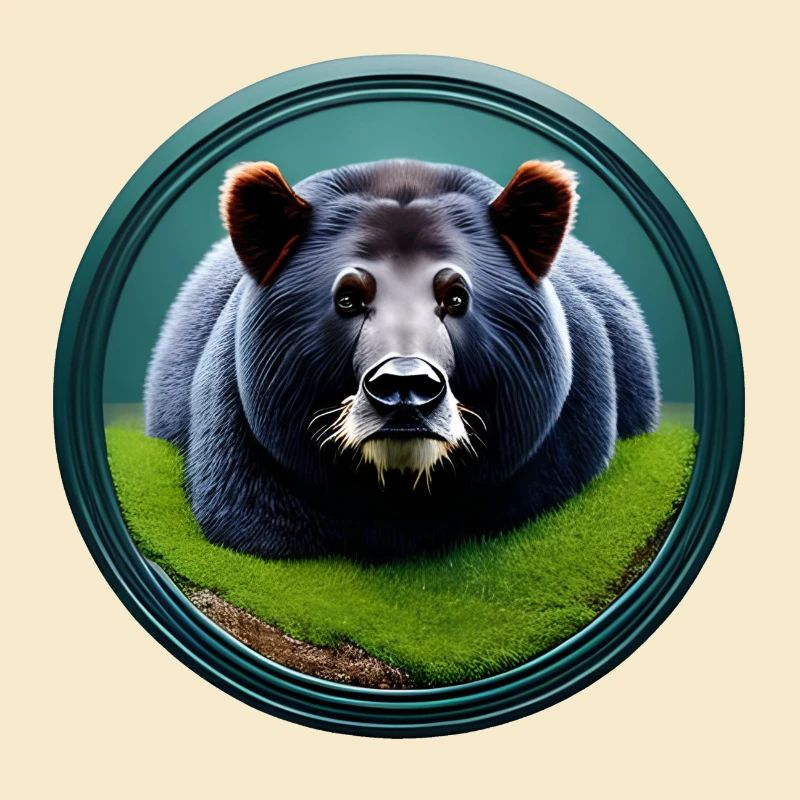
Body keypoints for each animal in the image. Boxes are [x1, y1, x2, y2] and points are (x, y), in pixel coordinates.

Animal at [144, 158, 659, 561]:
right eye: (348, 298)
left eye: (456, 297)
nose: (405, 387)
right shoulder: (248, 430)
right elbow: (254, 517)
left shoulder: (564, 428)